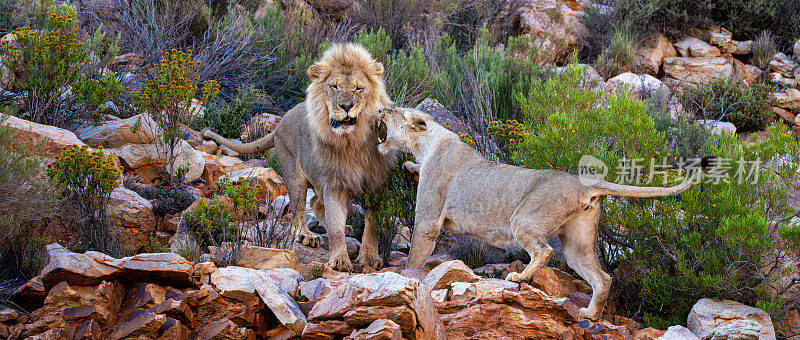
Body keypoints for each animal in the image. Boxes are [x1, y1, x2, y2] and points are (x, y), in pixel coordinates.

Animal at [203, 43, 394, 270]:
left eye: (358, 88)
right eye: (334, 87)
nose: (346, 106)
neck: (352, 142)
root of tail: (280, 123)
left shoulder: (376, 185)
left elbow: (372, 226)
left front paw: (370, 258)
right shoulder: (334, 184)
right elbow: (335, 226)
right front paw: (339, 260)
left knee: (315, 204)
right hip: (295, 178)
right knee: (298, 212)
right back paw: (306, 236)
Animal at [378, 107, 704, 320]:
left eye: (394, 110)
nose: (380, 109)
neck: (429, 143)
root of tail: (581, 182)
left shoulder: (428, 220)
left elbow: (416, 256)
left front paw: (403, 276)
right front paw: (408, 167)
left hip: (523, 218)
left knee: (544, 251)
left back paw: (519, 277)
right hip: (578, 242)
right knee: (602, 277)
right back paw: (590, 314)